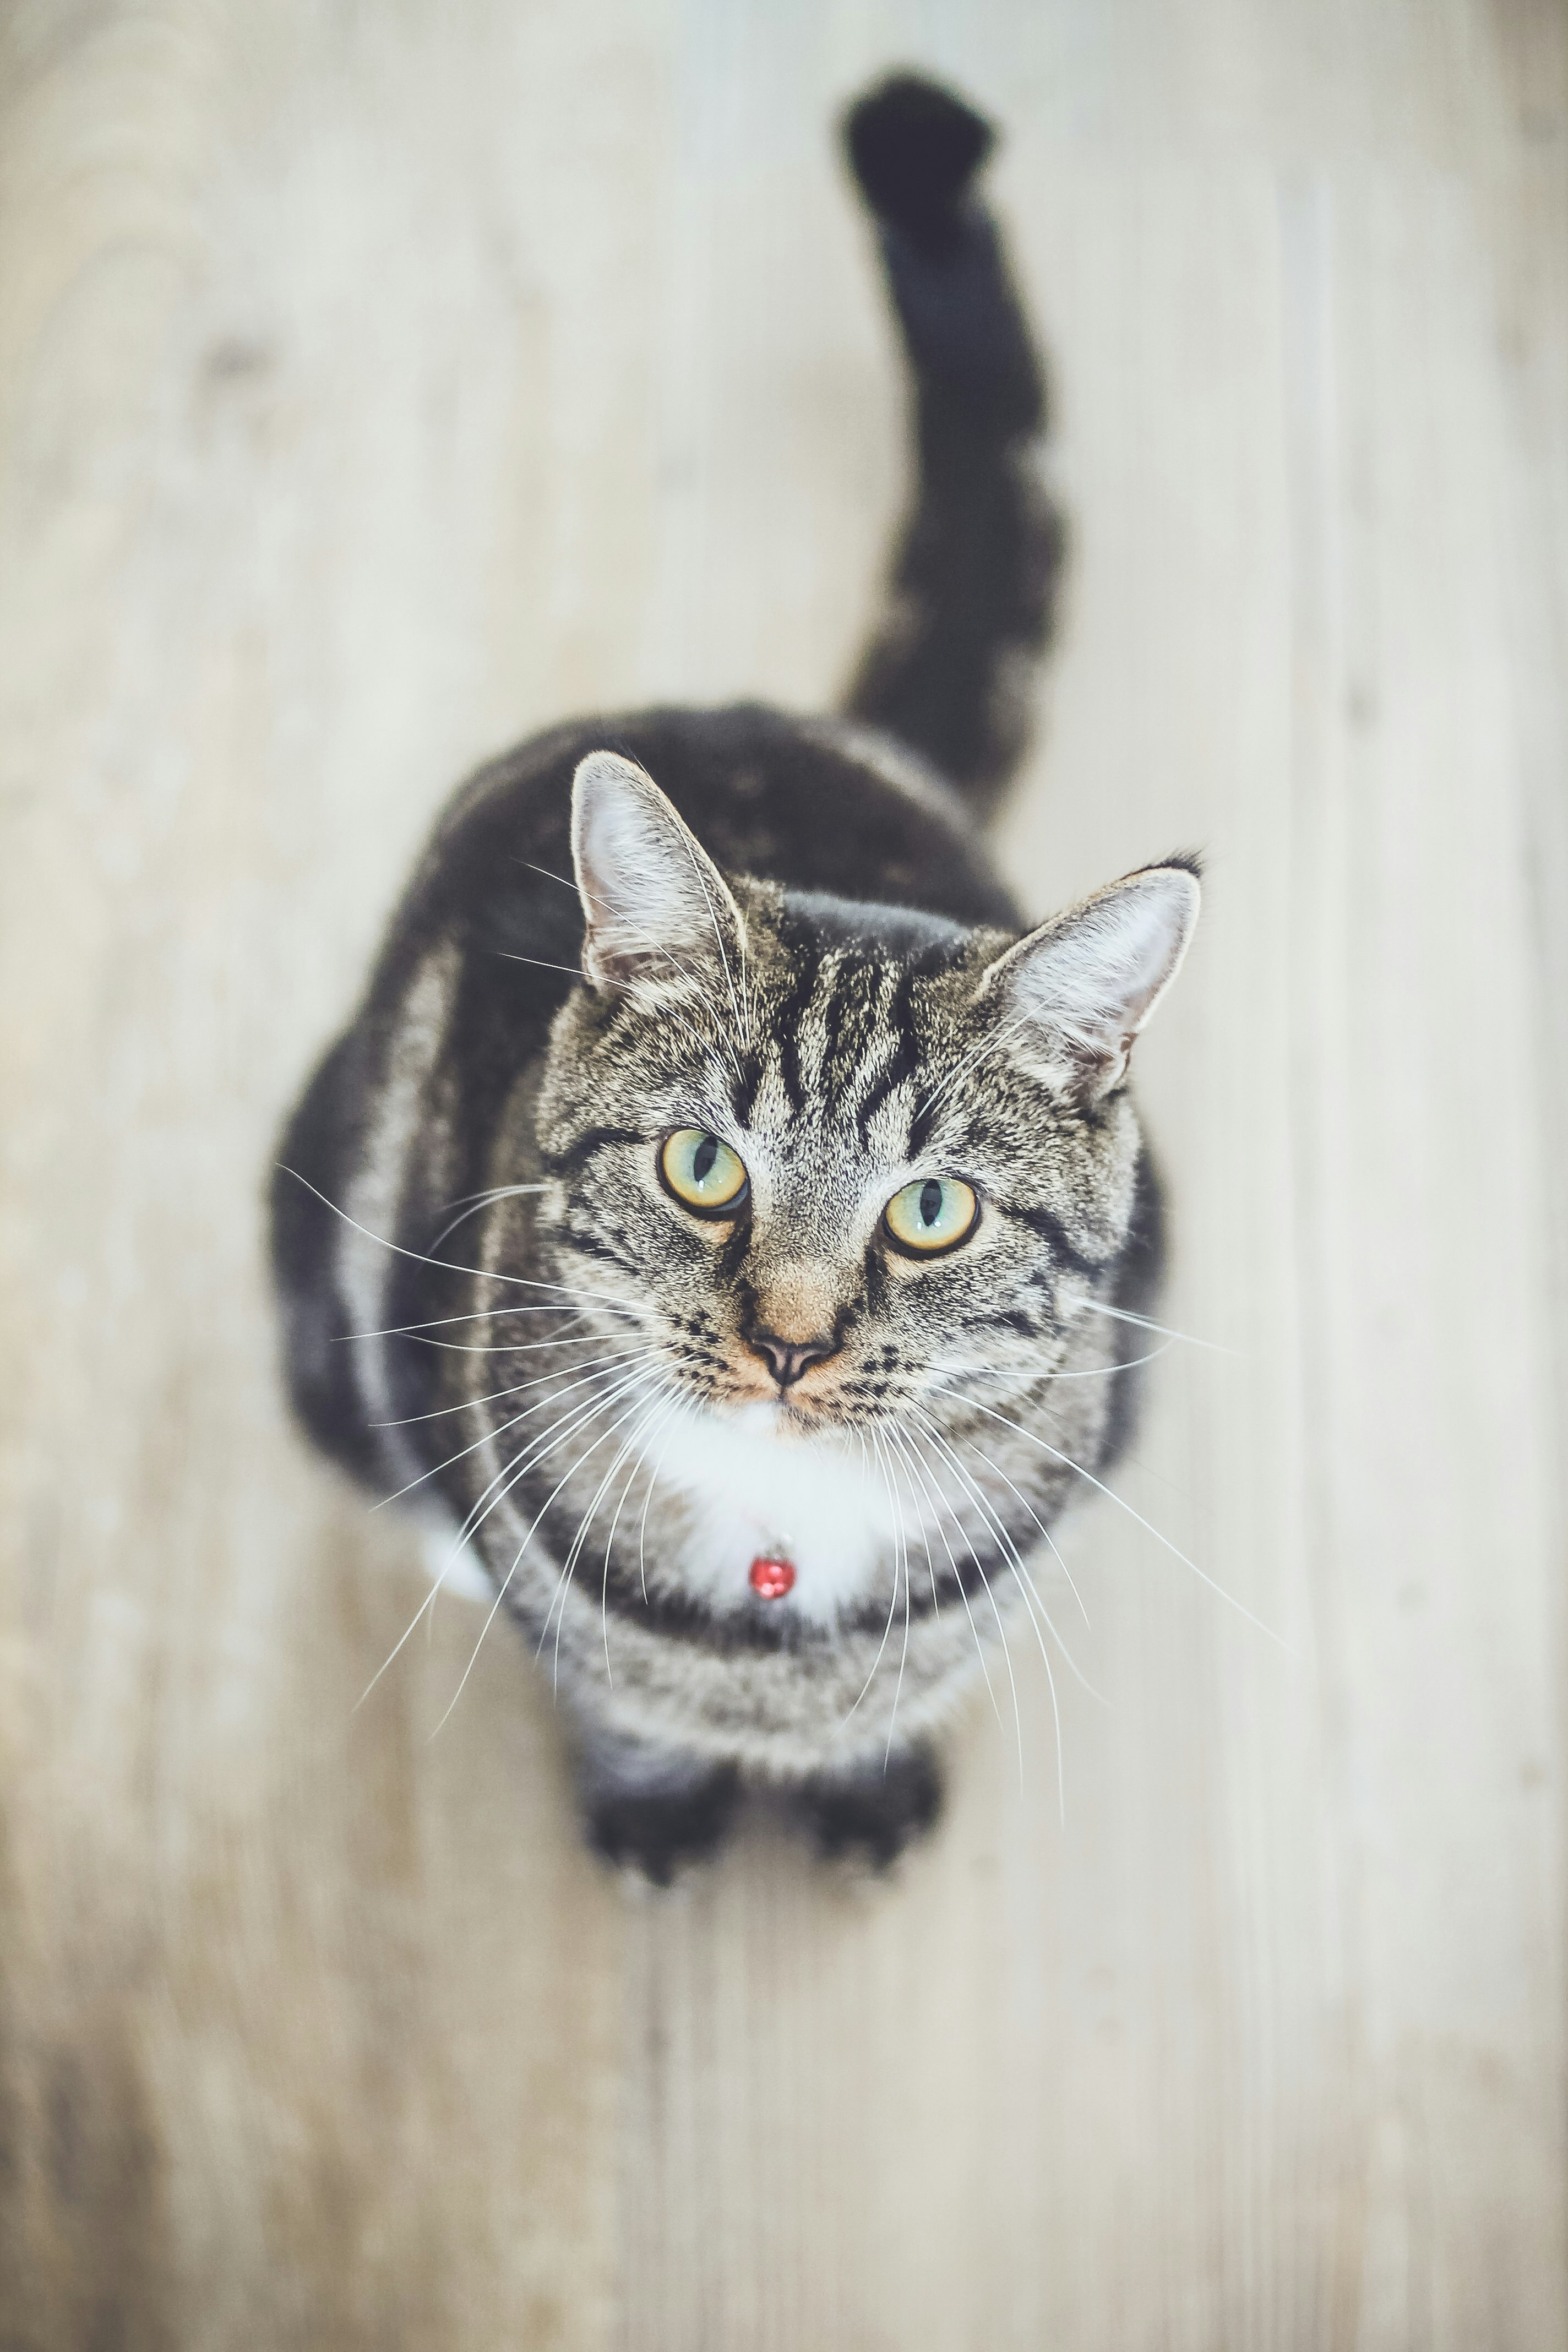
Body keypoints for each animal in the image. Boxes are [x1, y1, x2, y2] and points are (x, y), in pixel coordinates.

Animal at [273, 73, 1204, 1881]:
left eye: (933, 1209)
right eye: (704, 1166)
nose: (786, 1341)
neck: (781, 1572)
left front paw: (869, 1780)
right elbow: (602, 1677)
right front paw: (649, 1802)